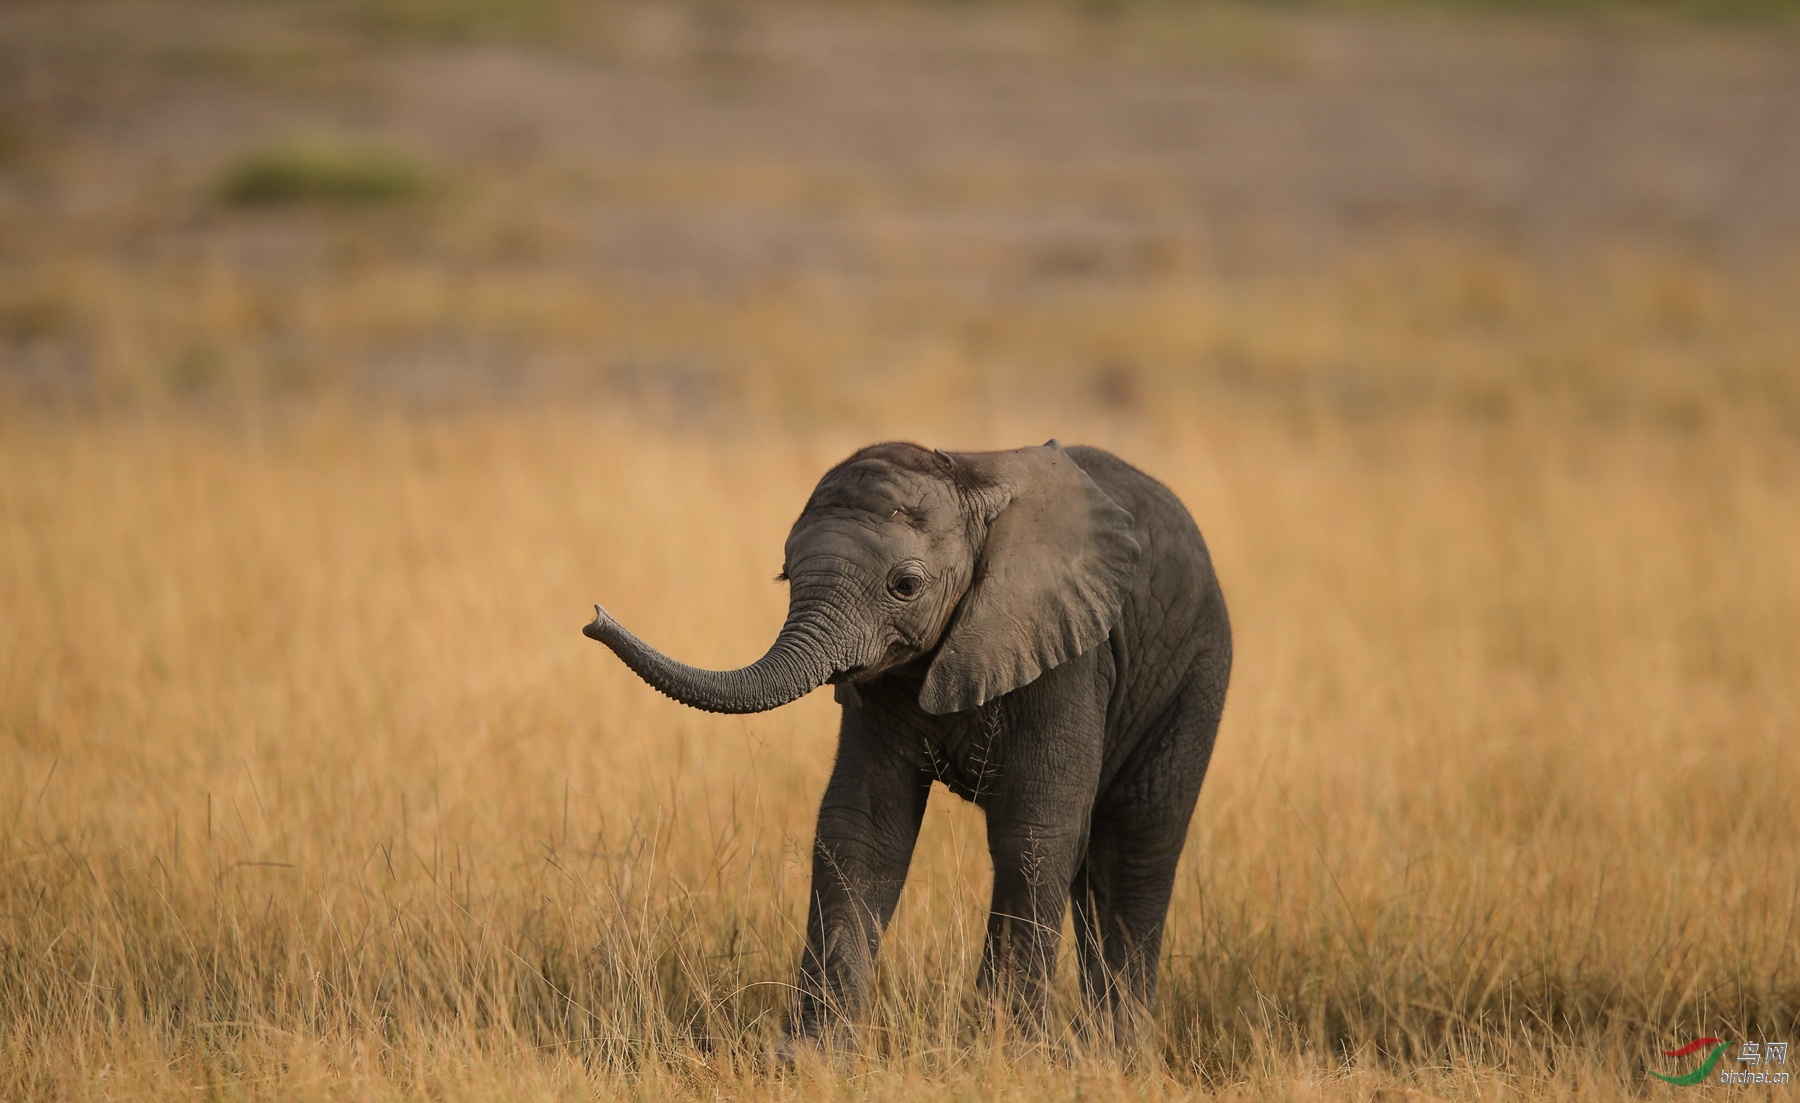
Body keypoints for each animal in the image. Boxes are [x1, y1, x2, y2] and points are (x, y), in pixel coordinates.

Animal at [583, 437, 1231, 1043]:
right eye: (785, 577)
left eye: (906, 585)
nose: (592, 617)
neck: (972, 479)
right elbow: (864, 829)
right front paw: (808, 1059)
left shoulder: (1070, 654)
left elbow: (1035, 833)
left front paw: (1002, 1053)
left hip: (1194, 677)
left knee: (1136, 846)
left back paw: (1103, 1055)